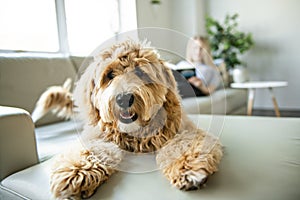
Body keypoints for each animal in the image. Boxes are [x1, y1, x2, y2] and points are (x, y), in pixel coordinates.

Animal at [48, 39, 223, 199]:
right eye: (110, 75)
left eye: (140, 73)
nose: (124, 98)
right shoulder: (95, 136)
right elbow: (90, 150)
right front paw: (76, 172)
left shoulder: (184, 130)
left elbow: (182, 144)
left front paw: (188, 168)